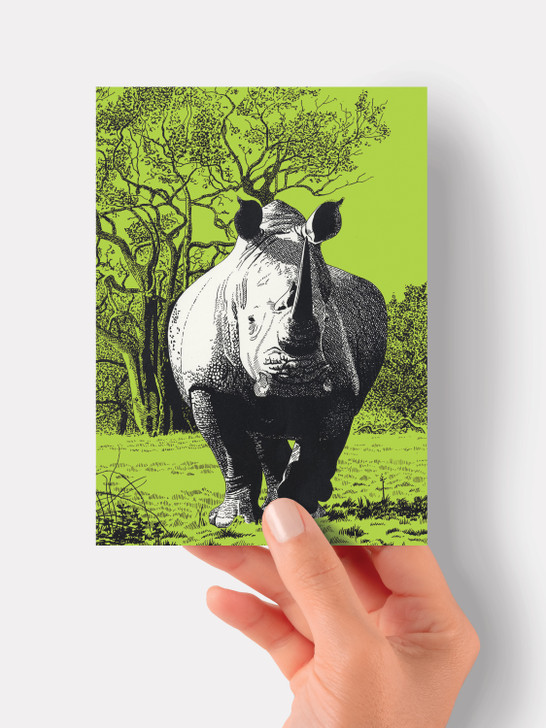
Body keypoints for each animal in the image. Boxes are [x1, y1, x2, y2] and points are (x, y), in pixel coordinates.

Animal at [168, 199, 387, 528]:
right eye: (249, 321)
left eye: (326, 320)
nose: (298, 379)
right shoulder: (206, 382)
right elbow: (229, 450)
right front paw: (229, 521)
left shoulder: (341, 385)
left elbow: (321, 445)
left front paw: (300, 512)